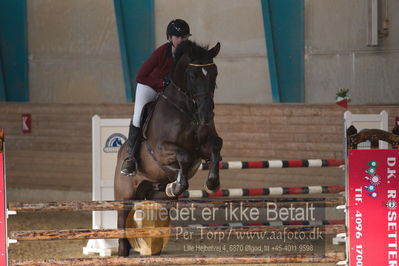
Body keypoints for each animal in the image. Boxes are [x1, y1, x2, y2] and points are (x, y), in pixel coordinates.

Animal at [114, 40, 223, 256]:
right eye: (192, 75)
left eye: (214, 73)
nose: (207, 114)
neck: (188, 109)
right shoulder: (161, 149)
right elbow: (184, 156)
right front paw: (177, 183)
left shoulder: (203, 147)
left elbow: (216, 146)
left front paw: (212, 183)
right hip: (124, 196)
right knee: (122, 229)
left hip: (158, 199)